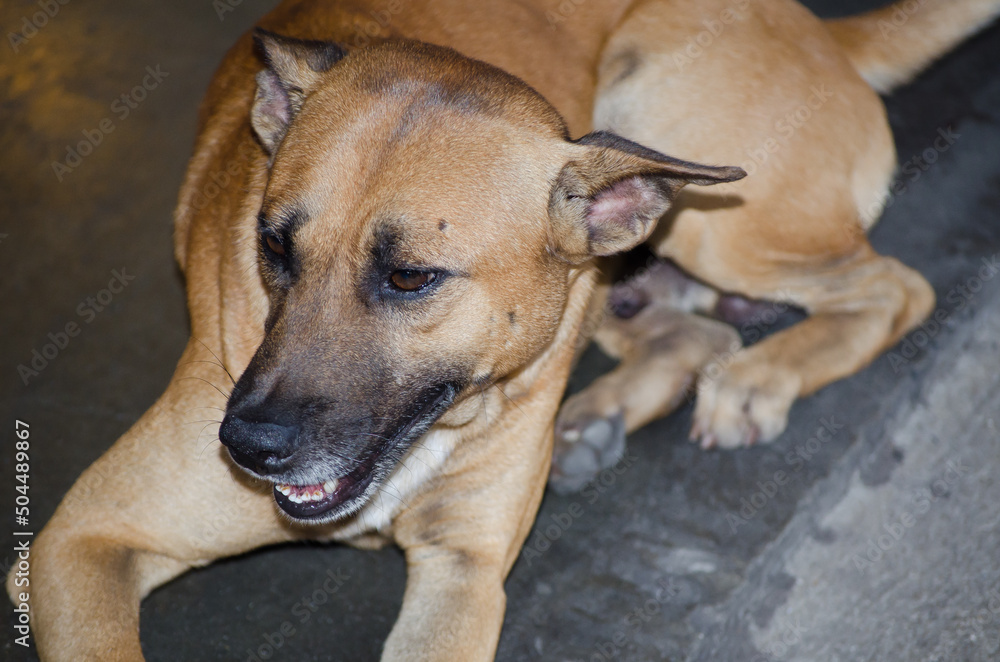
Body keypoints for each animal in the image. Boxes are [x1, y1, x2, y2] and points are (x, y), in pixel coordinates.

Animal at [9, 1, 1000, 662]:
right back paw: (597, 420)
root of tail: (825, 31)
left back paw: (763, 377)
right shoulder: (78, 543)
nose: (247, 446)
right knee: (696, 335)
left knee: (894, 288)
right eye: (272, 246)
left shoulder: (464, 575)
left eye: (410, 277)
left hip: (691, 164)